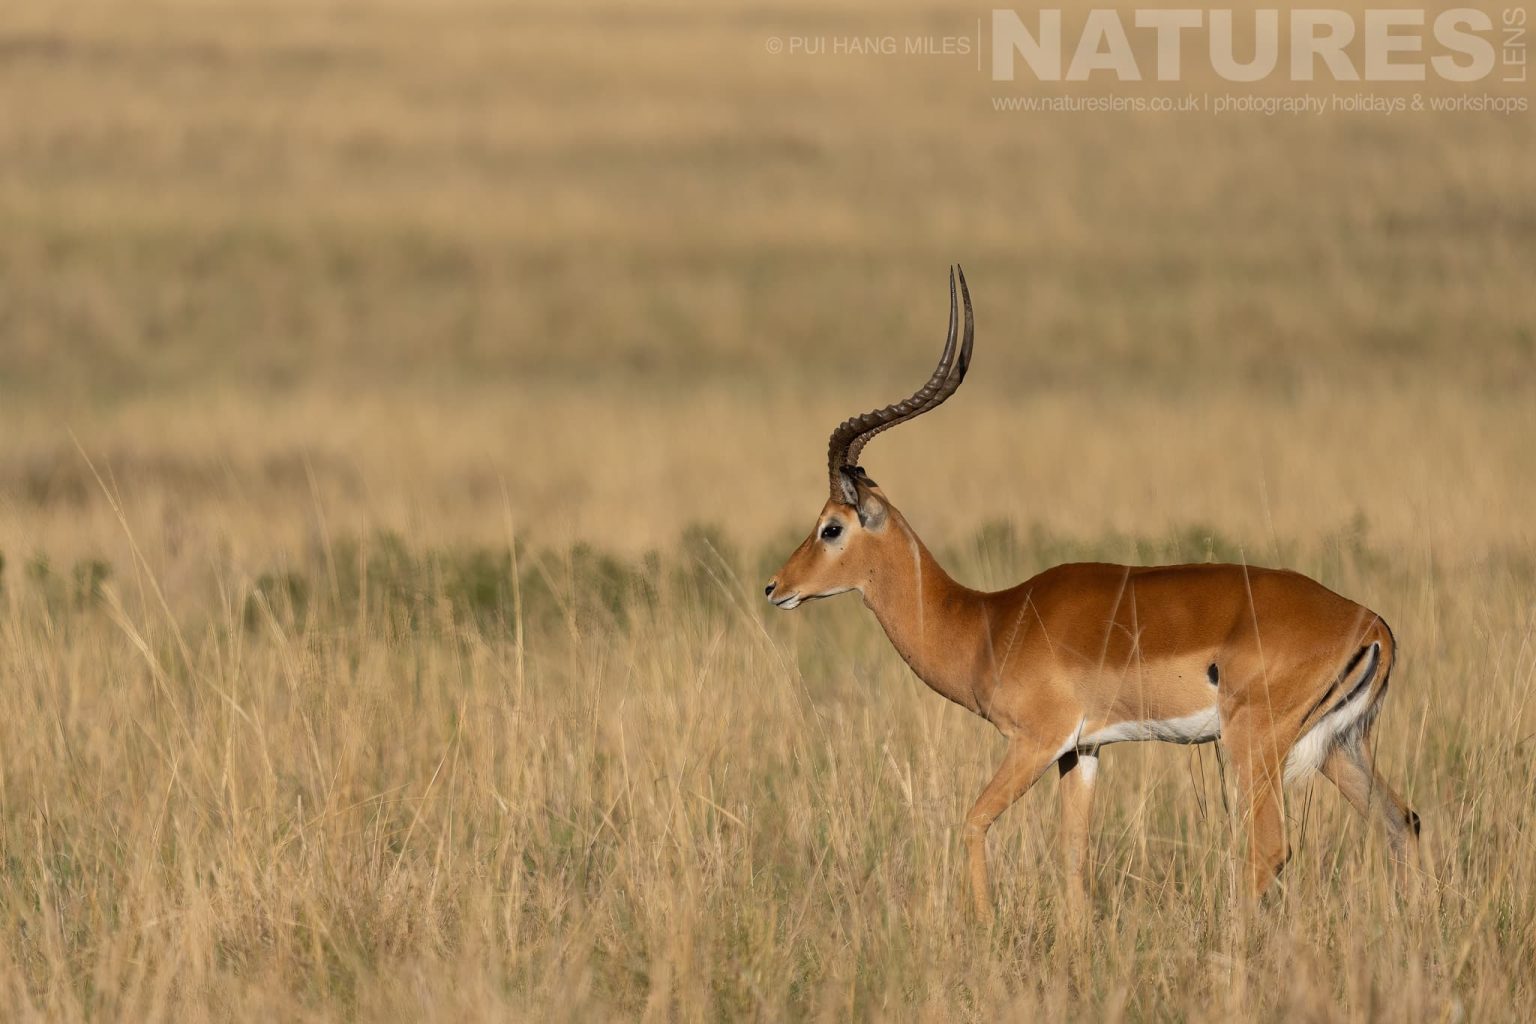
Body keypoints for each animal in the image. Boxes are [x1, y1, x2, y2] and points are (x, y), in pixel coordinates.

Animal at [765, 268, 1421, 917]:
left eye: (831, 526)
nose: (775, 587)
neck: (988, 622)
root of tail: (1371, 624)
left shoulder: (1036, 740)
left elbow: (973, 821)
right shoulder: (1081, 753)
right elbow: (1074, 858)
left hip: (1253, 744)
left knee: (1272, 848)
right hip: (1338, 746)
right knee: (1401, 822)